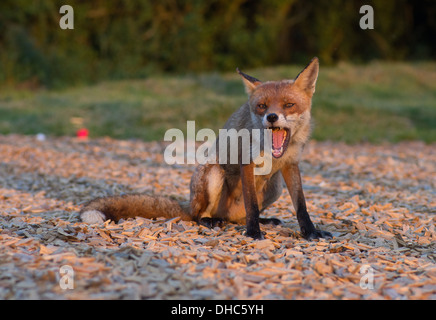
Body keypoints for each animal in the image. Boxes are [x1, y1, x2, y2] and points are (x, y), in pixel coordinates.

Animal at [81, 57, 330, 240]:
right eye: (262, 106)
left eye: (288, 105)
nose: (271, 117)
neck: (273, 153)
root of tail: (190, 204)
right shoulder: (246, 162)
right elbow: (251, 204)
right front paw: (253, 233)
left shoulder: (291, 164)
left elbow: (301, 206)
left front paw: (310, 232)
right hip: (213, 174)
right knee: (198, 216)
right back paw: (211, 220)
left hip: (275, 186)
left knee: (238, 217)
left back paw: (260, 220)